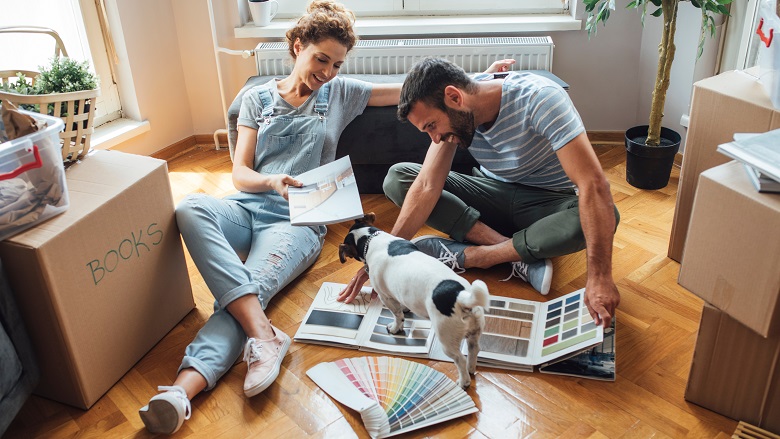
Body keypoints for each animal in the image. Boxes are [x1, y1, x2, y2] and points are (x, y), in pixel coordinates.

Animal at [340, 214, 490, 388]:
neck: (372, 239)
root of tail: (461, 296)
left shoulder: (386, 297)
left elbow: (397, 315)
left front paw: (395, 328)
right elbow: (402, 306)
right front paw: (406, 309)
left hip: (447, 339)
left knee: (460, 359)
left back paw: (463, 382)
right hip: (475, 331)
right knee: (474, 350)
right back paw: (471, 369)